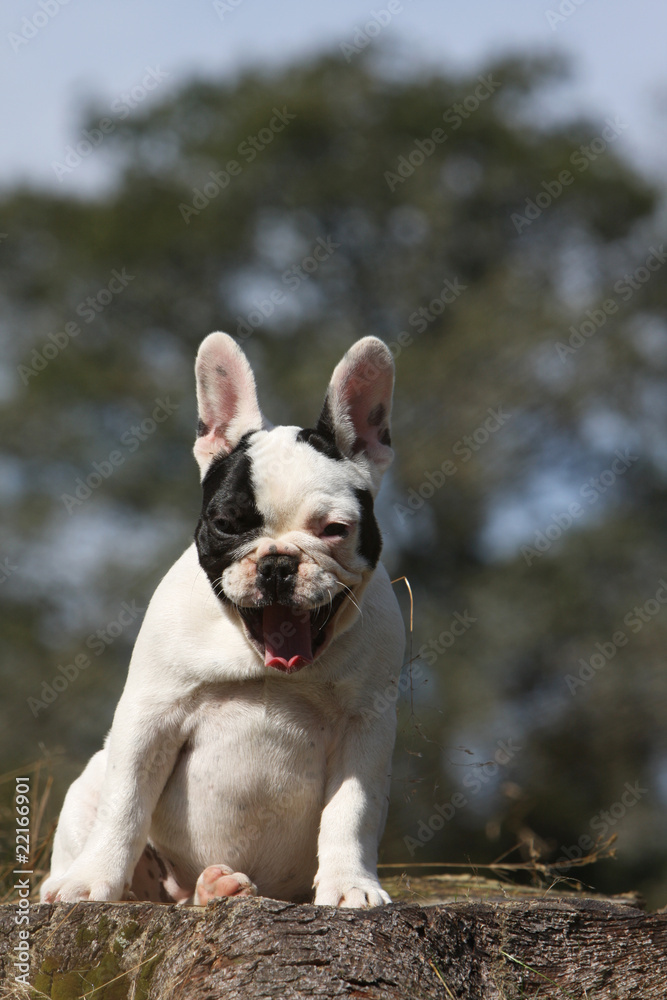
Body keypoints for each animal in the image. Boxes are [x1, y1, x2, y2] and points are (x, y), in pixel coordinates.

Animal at [43, 334, 408, 908]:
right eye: (226, 524)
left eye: (334, 529)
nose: (277, 563)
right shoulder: (149, 714)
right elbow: (125, 805)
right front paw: (90, 880)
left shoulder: (365, 725)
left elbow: (352, 811)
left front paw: (351, 885)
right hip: (89, 785)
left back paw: (219, 887)